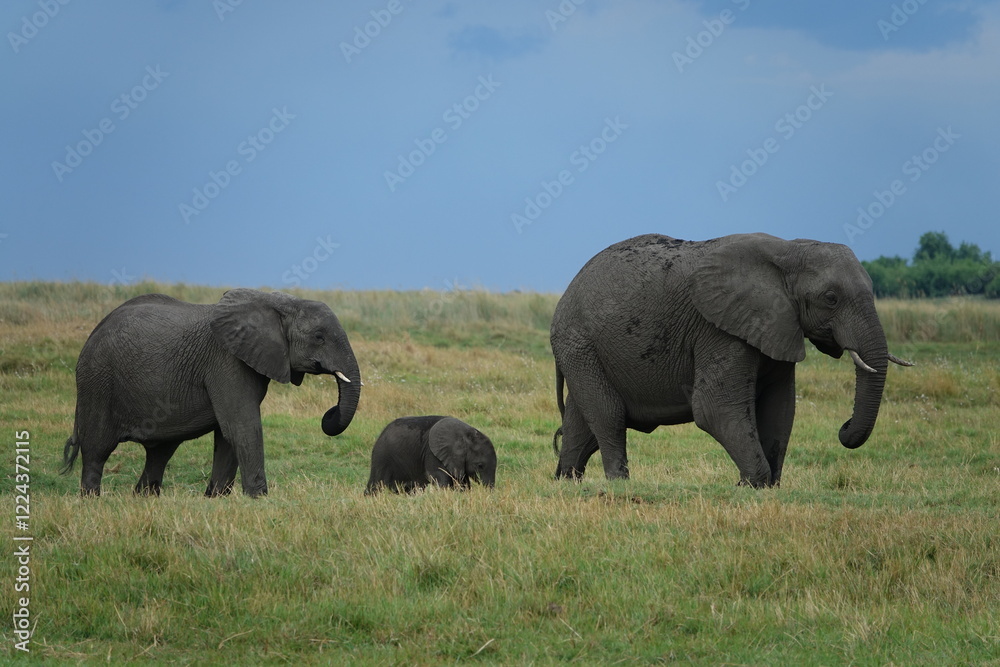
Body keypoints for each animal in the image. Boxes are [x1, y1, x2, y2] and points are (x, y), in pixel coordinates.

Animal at [62, 288, 362, 497]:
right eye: (319, 337)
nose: (328, 414)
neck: (277, 301)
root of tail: (94, 330)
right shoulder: (227, 361)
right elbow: (242, 427)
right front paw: (260, 499)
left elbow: (228, 435)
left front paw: (216, 498)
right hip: (97, 382)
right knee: (97, 449)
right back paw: (91, 500)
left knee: (160, 452)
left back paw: (143, 498)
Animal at [365, 416, 497, 494]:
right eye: (480, 465)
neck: (465, 435)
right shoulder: (432, 453)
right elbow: (440, 477)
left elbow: (462, 480)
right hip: (382, 457)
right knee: (376, 484)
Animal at [550, 233, 912, 487]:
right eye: (831, 298)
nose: (844, 426)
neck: (788, 252)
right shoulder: (721, 328)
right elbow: (715, 408)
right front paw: (752, 484)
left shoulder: (778, 326)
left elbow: (780, 408)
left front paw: (768, 486)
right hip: (579, 344)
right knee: (608, 414)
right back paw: (619, 483)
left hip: (584, 350)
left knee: (583, 424)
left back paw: (566, 481)